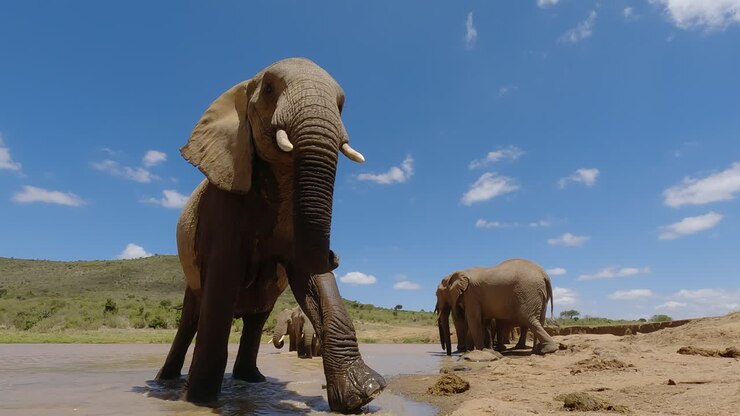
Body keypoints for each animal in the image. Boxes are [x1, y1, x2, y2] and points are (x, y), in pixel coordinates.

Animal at [155, 58, 385, 413]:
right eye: (268, 89)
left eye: (342, 105)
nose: (335, 255)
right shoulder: (222, 204)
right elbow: (222, 280)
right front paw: (200, 400)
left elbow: (312, 278)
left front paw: (362, 396)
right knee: (192, 318)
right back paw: (165, 382)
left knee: (254, 321)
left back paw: (252, 381)